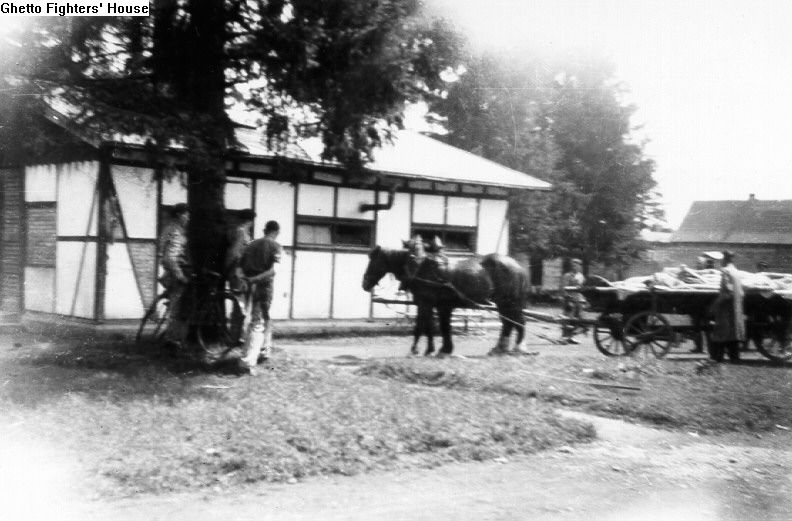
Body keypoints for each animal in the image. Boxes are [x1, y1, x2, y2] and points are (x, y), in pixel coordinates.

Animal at [362, 246, 528, 356]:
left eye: (373, 262)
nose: (364, 284)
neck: (420, 268)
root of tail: (518, 266)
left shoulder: (425, 304)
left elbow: (421, 326)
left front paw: (416, 349)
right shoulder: (438, 306)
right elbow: (438, 327)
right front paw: (440, 349)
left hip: (508, 303)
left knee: (516, 322)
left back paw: (517, 347)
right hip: (504, 304)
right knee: (508, 323)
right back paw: (501, 348)